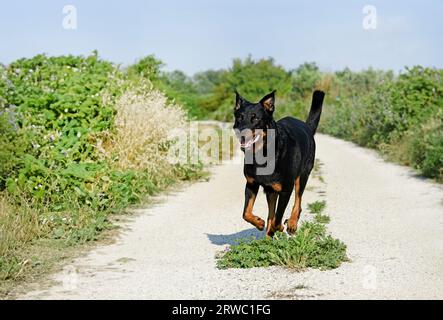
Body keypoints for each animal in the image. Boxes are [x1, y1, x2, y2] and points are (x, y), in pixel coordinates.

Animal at [232, 89, 326, 236]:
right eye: (239, 117)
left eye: (256, 118)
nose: (241, 133)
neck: (263, 153)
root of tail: (307, 127)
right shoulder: (251, 184)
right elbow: (246, 213)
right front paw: (259, 222)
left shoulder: (286, 189)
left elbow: (278, 218)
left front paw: (279, 227)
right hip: (271, 190)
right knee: (271, 213)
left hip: (302, 175)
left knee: (298, 201)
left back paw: (292, 223)